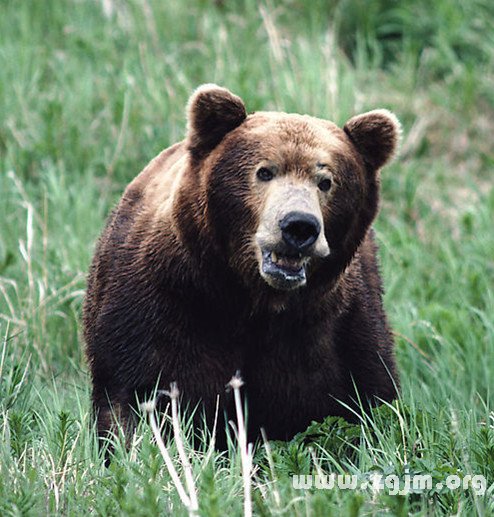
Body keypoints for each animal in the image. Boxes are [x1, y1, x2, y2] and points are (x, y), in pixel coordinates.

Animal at [84, 84, 402, 448]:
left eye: (326, 180)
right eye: (264, 171)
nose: (299, 226)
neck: (251, 298)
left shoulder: (333, 329)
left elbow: (360, 401)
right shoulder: (162, 306)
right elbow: (141, 395)